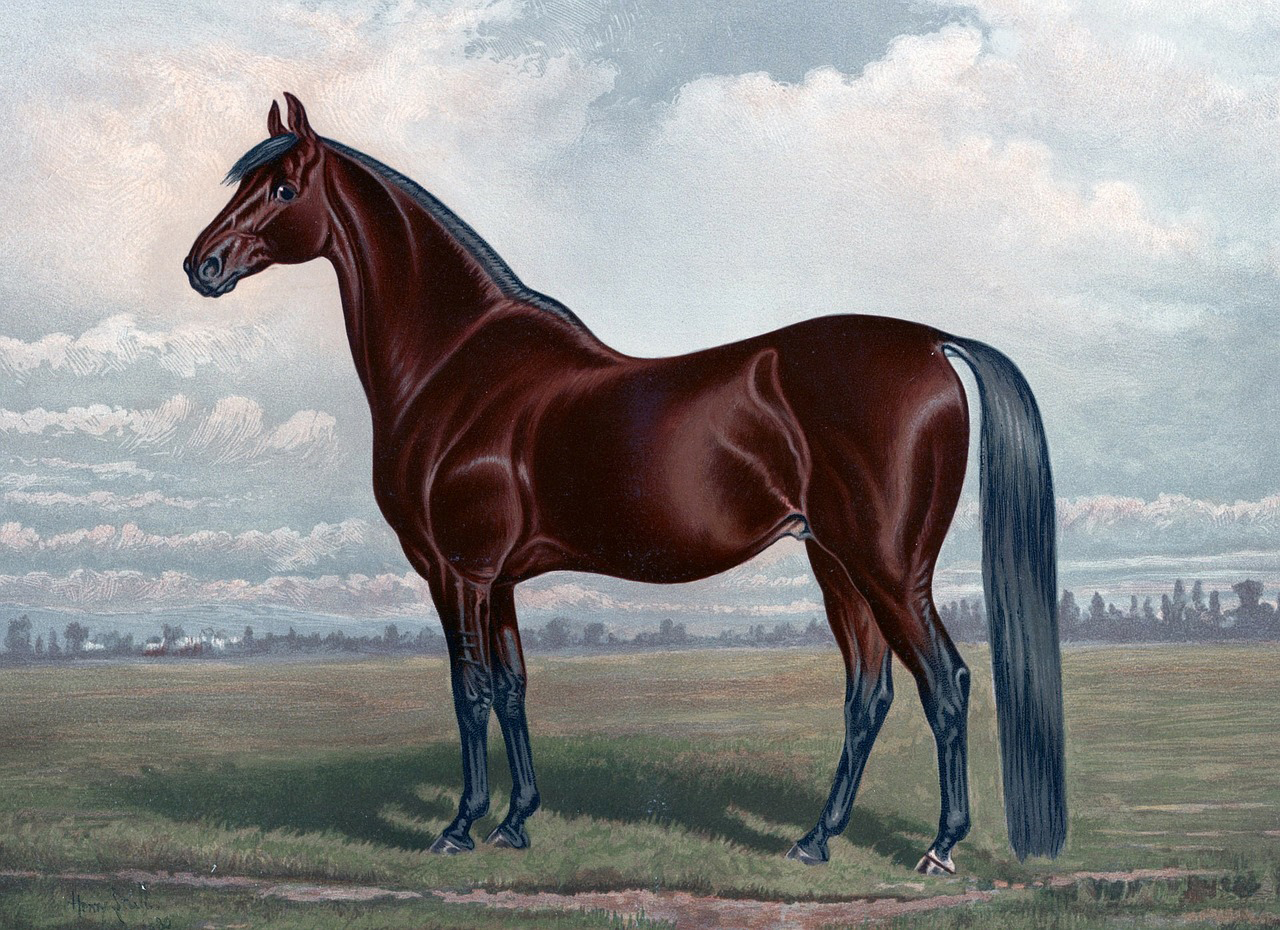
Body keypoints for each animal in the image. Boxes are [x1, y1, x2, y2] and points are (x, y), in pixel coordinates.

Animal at [185, 94, 1066, 874]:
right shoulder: (500, 579)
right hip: (837, 564)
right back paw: (815, 840)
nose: (203, 265)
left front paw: (460, 827)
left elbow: (469, 690)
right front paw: (516, 821)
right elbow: (513, 687)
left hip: (888, 567)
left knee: (944, 685)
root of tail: (933, 343)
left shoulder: (456, 572)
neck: (456, 364)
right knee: (868, 694)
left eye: (284, 188)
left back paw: (939, 848)